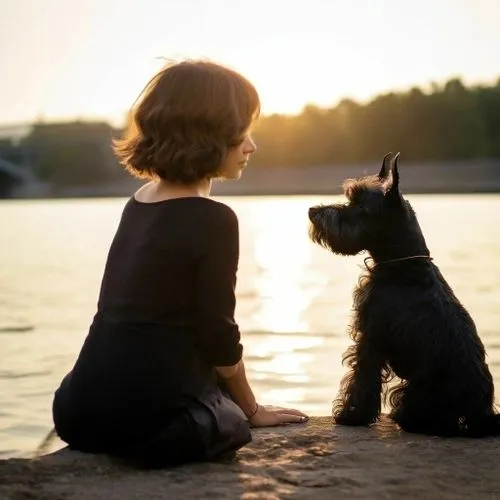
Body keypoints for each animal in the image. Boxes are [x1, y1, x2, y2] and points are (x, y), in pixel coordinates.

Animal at [308, 152, 500, 438]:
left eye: (360, 206)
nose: (312, 212)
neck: (403, 263)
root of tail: (482, 415)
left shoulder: (371, 336)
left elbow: (362, 378)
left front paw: (351, 415)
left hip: (415, 391)